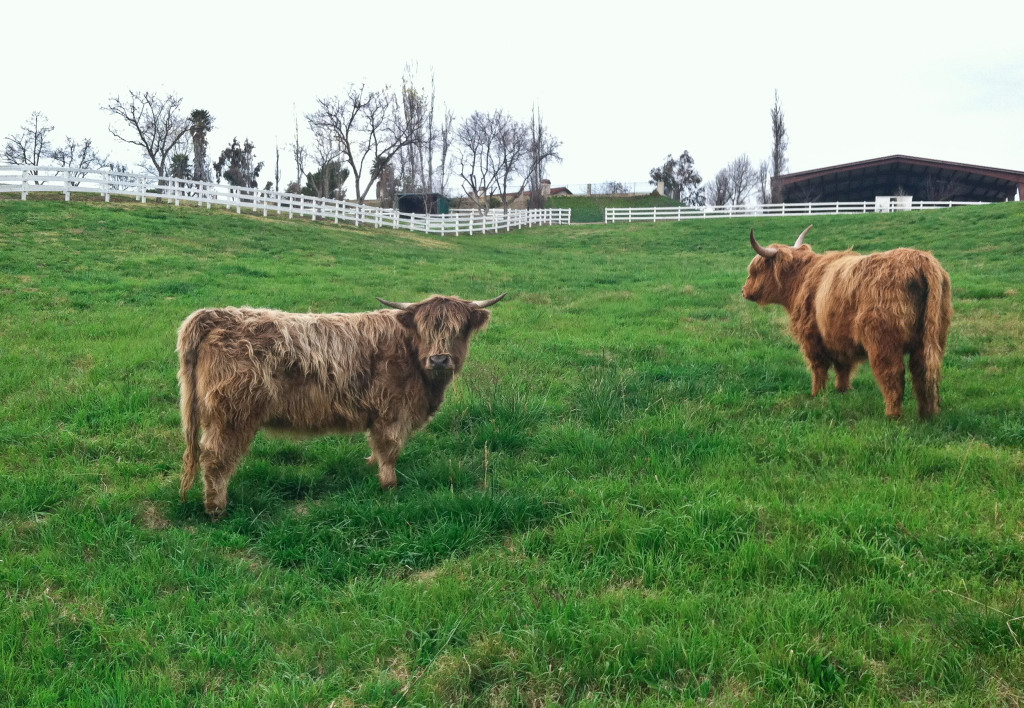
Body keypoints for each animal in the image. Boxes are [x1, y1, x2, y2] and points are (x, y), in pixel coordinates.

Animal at [182, 290, 509, 518]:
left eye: (459, 329)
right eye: (423, 328)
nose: (439, 359)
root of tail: (216, 315)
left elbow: (376, 446)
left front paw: (371, 465)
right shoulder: (392, 412)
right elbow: (390, 449)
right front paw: (389, 486)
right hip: (232, 415)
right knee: (216, 458)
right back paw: (216, 509)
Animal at [745, 224, 950, 418]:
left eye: (755, 270)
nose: (744, 290)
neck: (801, 279)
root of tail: (920, 260)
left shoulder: (812, 336)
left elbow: (819, 367)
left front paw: (816, 394)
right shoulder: (839, 337)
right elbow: (843, 366)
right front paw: (842, 390)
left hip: (883, 341)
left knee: (893, 374)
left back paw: (892, 415)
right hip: (934, 336)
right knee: (923, 372)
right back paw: (928, 414)